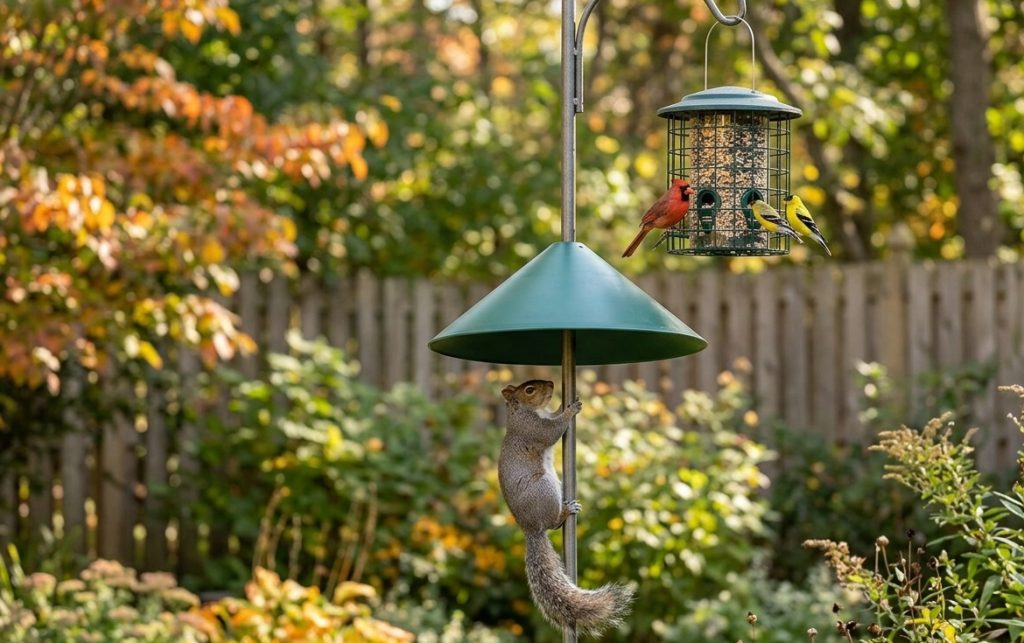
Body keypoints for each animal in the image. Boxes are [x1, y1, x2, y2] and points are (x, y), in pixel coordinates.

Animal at [498, 379, 634, 636]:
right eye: (529, 389)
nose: (552, 383)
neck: (521, 410)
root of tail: (530, 528)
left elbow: (554, 416)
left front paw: (564, 404)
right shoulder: (532, 428)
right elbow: (552, 430)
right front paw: (570, 411)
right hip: (545, 488)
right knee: (552, 523)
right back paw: (565, 511)